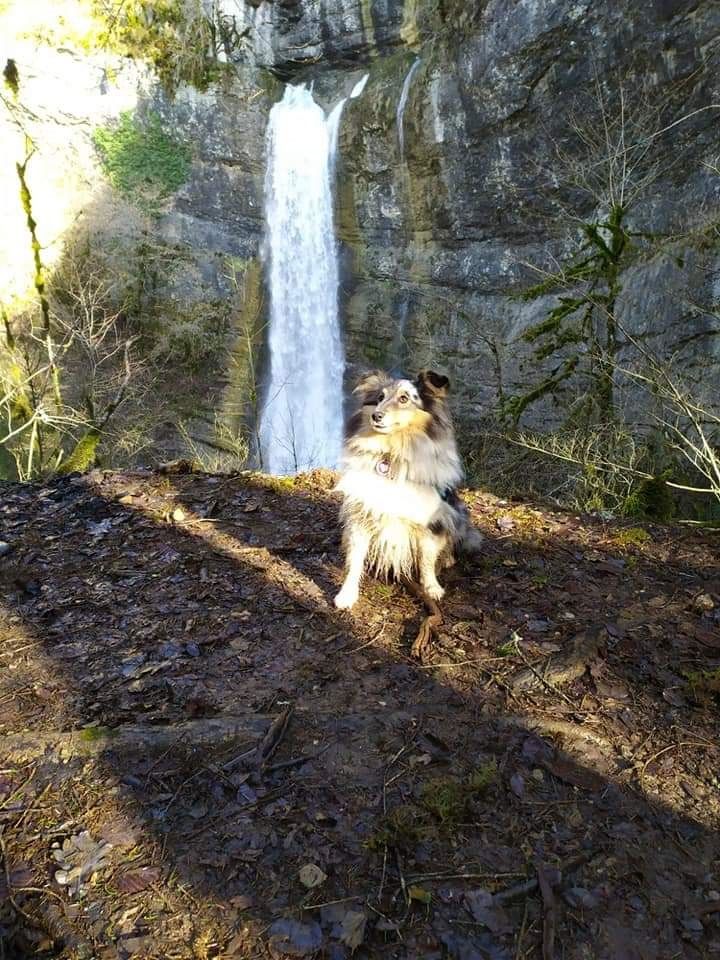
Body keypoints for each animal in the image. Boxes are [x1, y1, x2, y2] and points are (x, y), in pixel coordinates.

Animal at [334, 368, 480, 608]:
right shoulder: (361, 515)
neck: (393, 453)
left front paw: (432, 588)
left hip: (457, 511)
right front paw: (346, 595)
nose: (376, 416)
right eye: (380, 398)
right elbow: (354, 560)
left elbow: (427, 559)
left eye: (404, 398)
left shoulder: (430, 519)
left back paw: (448, 558)